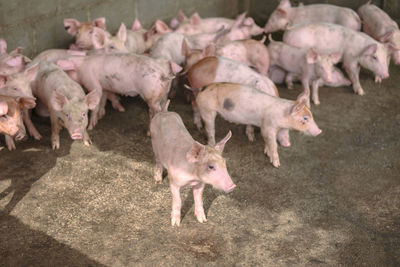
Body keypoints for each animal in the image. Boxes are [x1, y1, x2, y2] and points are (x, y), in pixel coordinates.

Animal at [191, 82, 322, 169]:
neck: (282, 115)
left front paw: (265, 151)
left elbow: (267, 141)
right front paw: (277, 165)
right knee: (210, 129)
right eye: (305, 118)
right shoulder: (268, 126)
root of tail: (202, 88)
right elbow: (273, 144)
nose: (319, 131)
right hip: (207, 110)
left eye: (311, 116)